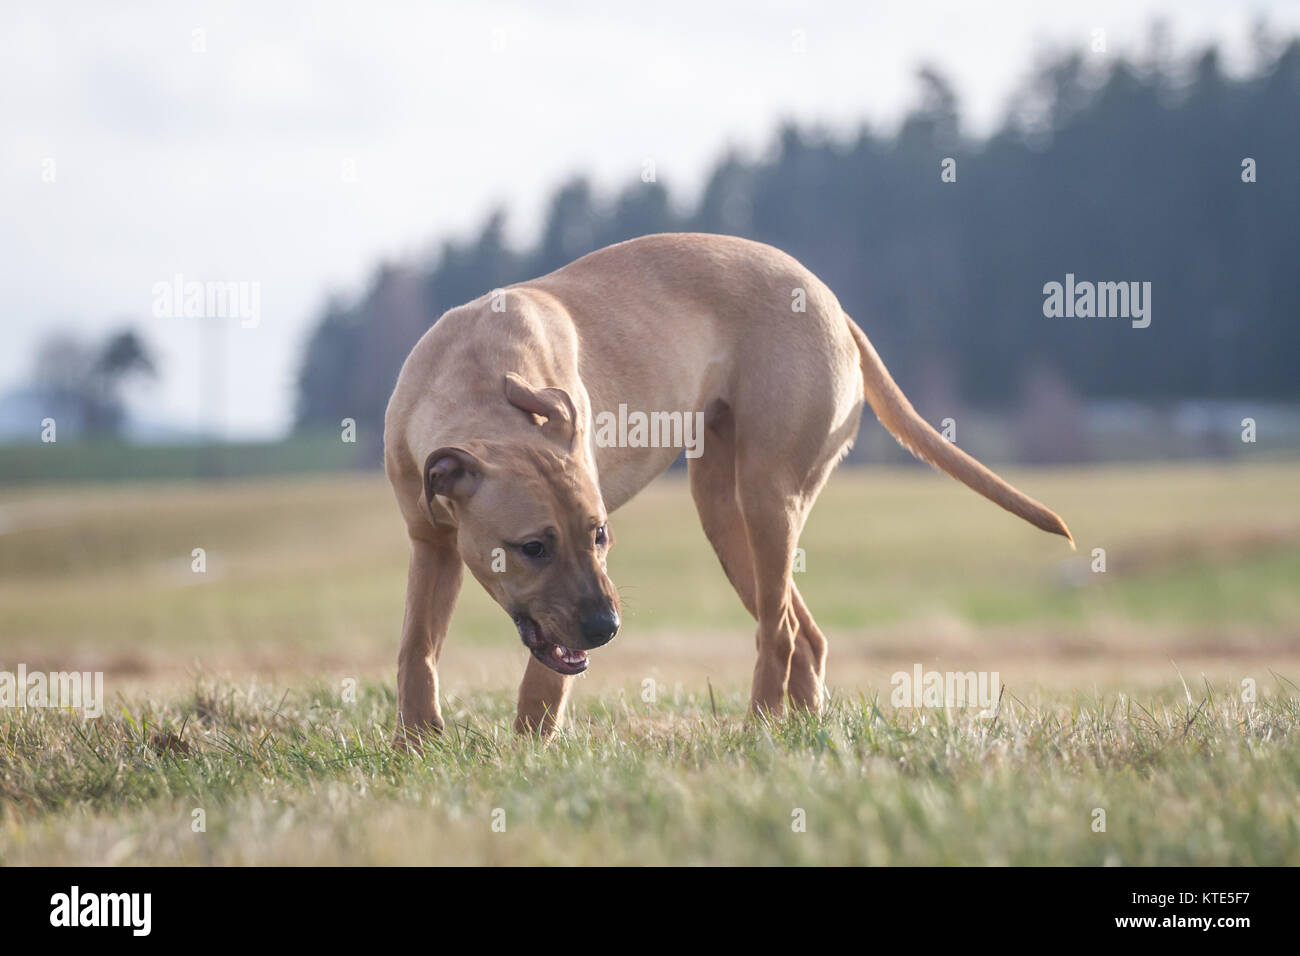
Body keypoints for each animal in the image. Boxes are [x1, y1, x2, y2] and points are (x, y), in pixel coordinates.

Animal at [379, 234, 1071, 749]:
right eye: (533, 547)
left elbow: (544, 680)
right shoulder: (430, 545)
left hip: (766, 497)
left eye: (600, 535)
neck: (478, 380)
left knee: (780, 632)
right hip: (725, 517)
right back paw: (802, 732)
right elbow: (416, 648)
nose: (607, 627)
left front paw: (528, 748)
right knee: (803, 633)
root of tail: (833, 305)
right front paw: (417, 745)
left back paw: (757, 732)